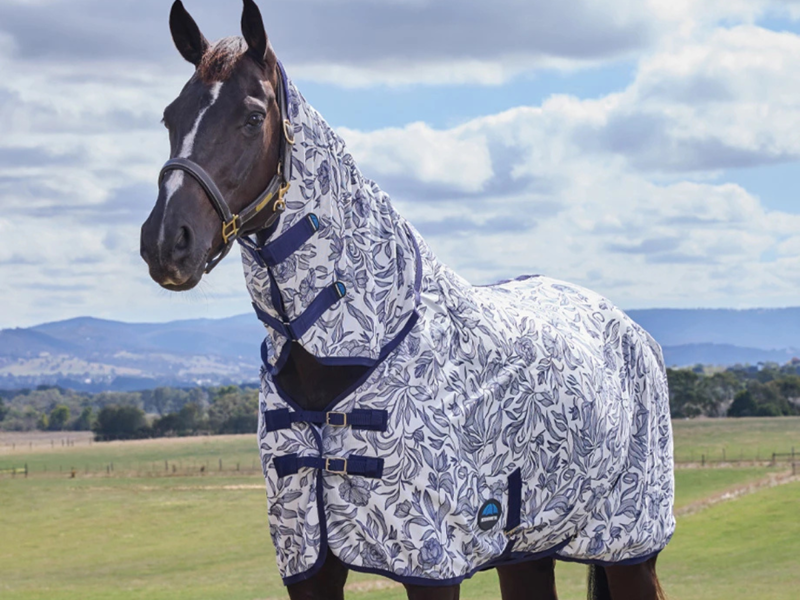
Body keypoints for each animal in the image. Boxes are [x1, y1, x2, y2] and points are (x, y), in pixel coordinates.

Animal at [140, 2, 674, 599]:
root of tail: (630, 330)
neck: (367, 340)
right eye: (170, 117)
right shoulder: (307, 559)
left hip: (629, 544)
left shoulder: (431, 560)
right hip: (526, 551)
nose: (166, 242)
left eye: (253, 117)